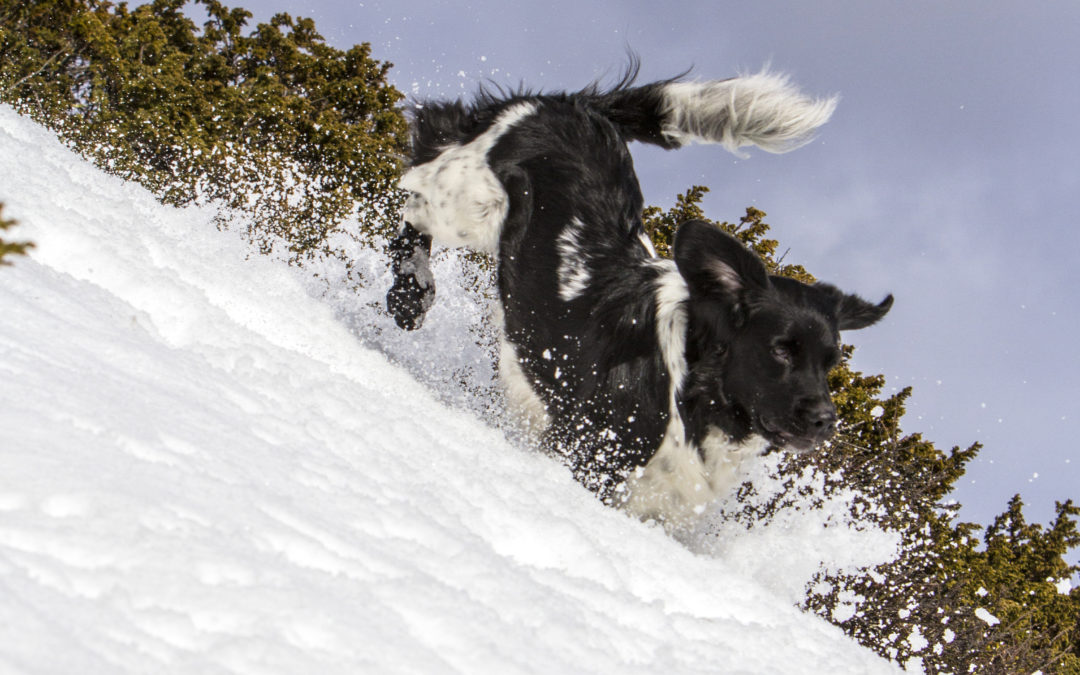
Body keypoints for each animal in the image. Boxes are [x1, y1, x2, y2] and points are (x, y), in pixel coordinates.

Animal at [384, 67, 889, 531]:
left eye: (831, 364)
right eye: (781, 350)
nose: (826, 420)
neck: (689, 388)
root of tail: (571, 106)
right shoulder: (585, 456)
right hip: (466, 199)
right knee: (418, 181)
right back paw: (410, 292)